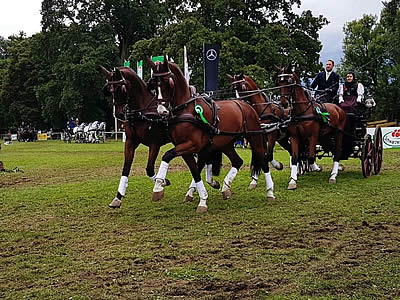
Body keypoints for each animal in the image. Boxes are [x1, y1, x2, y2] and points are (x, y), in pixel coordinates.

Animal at [98, 65, 220, 209]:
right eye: (109, 90)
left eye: (122, 88)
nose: (119, 114)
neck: (142, 112)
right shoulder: (130, 142)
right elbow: (126, 168)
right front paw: (117, 197)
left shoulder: (154, 144)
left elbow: (149, 169)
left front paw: (162, 183)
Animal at [147, 55, 276, 211]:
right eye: (154, 85)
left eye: (168, 82)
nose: (162, 111)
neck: (187, 110)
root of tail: (247, 105)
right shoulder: (185, 148)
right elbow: (195, 171)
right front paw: (202, 199)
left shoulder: (192, 144)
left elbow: (167, 155)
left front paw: (158, 187)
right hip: (226, 143)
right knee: (237, 161)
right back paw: (226, 188)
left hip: (254, 138)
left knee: (263, 161)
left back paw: (270, 193)